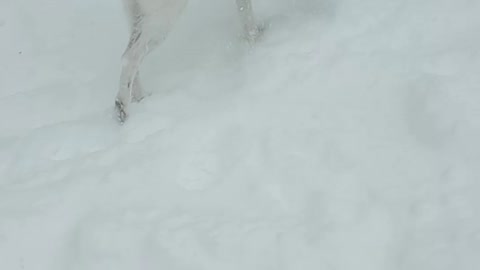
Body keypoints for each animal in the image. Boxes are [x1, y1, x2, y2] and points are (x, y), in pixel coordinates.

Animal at [114, 0, 260, 122]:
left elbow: (246, 15)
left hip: (138, 16)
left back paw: (141, 99)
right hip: (162, 17)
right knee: (131, 56)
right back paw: (122, 107)